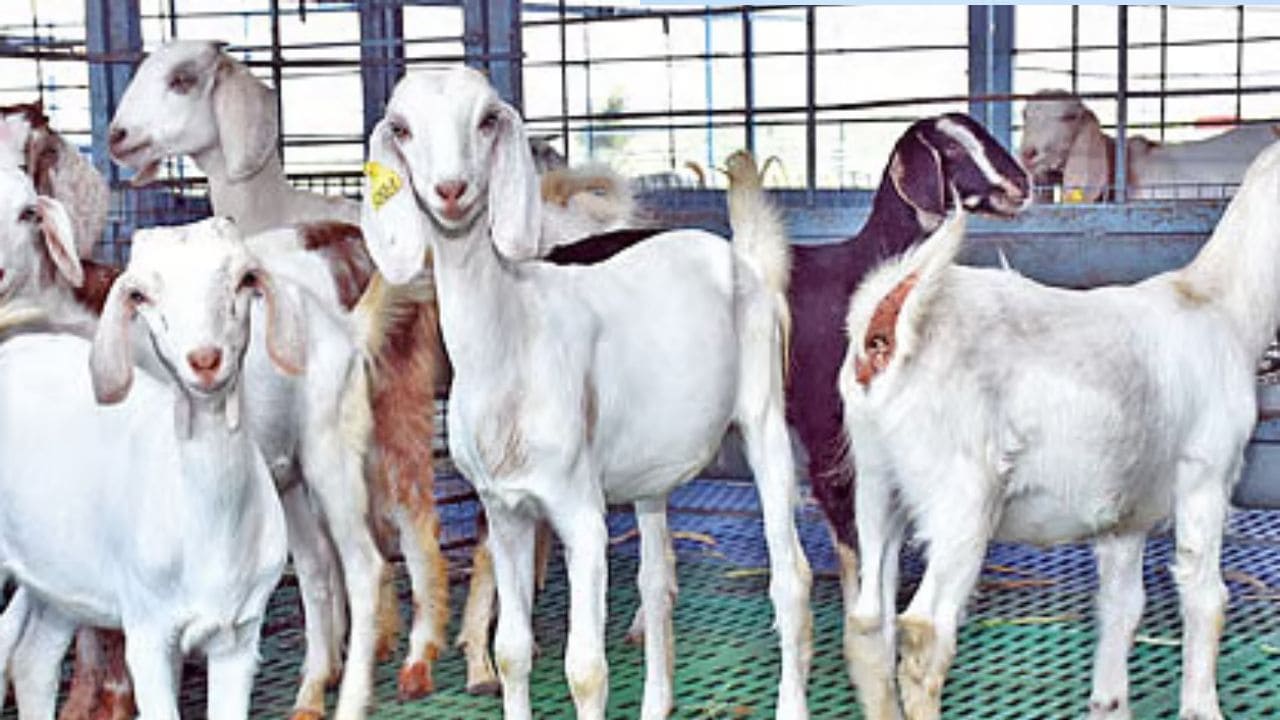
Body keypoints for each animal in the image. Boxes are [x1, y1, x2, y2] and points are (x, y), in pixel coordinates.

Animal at [0, 217, 291, 720]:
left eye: (244, 280)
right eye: (141, 295)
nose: (205, 359)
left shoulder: (239, 635)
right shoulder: (149, 632)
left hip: (58, 576)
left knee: (32, 660)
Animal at [360, 66, 812, 720]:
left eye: (487, 119)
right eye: (400, 127)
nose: (450, 190)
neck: (516, 337)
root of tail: (740, 256)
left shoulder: (580, 514)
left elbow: (586, 672)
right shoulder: (505, 512)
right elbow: (512, 650)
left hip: (764, 418)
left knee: (791, 579)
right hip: (652, 469)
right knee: (657, 580)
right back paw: (656, 701)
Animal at [836, 140, 1280, 720]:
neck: (1217, 302)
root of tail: (885, 329)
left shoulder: (1124, 515)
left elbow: (1122, 606)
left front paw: (1109, 701)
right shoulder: (1206, 475)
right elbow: (1207, 600)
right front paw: (1202, 706)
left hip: (875, 484)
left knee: (870, 623)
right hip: (962, 498)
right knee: (925, 632)